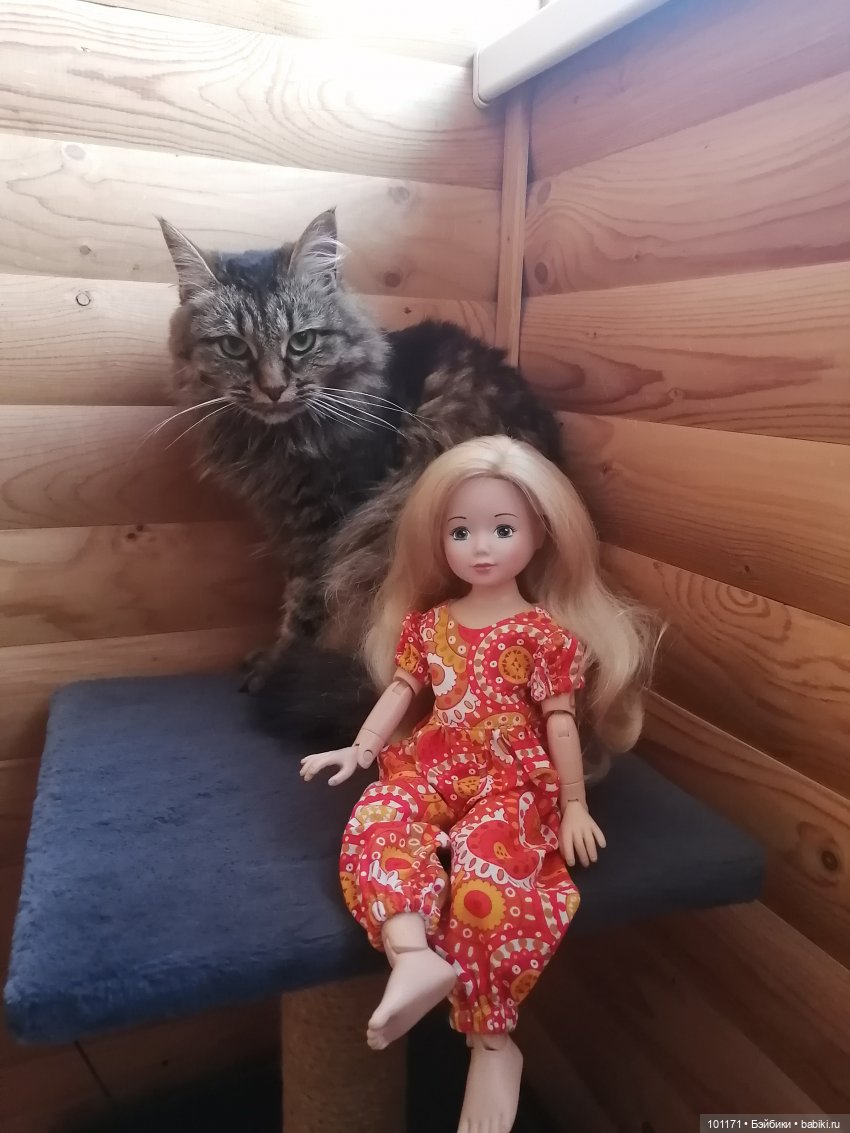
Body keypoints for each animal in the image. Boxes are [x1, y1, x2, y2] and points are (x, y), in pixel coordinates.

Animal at [159, 208, 563, 747]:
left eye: (301, 341)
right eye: (232, 347)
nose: (273, 389)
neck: (282, 440)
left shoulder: (329, 521)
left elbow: (305, 605)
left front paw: (276, 664)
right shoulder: (292, 523)